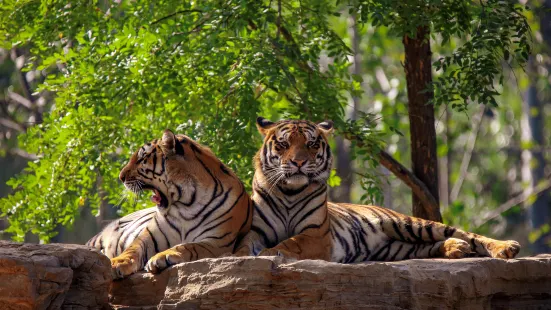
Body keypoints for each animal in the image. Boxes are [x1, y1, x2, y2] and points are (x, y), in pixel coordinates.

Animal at [87, 129, 253, 278]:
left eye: (141, 158)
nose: (121, 177)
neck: (187, 203)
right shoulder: (149, 237)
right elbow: (132, 249)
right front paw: (116, 263)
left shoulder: (216, 242)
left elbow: (188, 246)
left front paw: (162, 256)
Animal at [235, 117, 524, 262]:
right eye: (284, 145)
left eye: (311, 144)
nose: (298, 162)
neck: (289, 191)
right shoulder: (255, 230)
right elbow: (245, 245)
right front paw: (240, 256)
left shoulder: (315, 234)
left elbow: (289, 242)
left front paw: (268, 254)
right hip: (396, 247)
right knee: (430, 247)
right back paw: (456, 249)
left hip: (409, 223)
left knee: (469, 235)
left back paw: (505, 247)